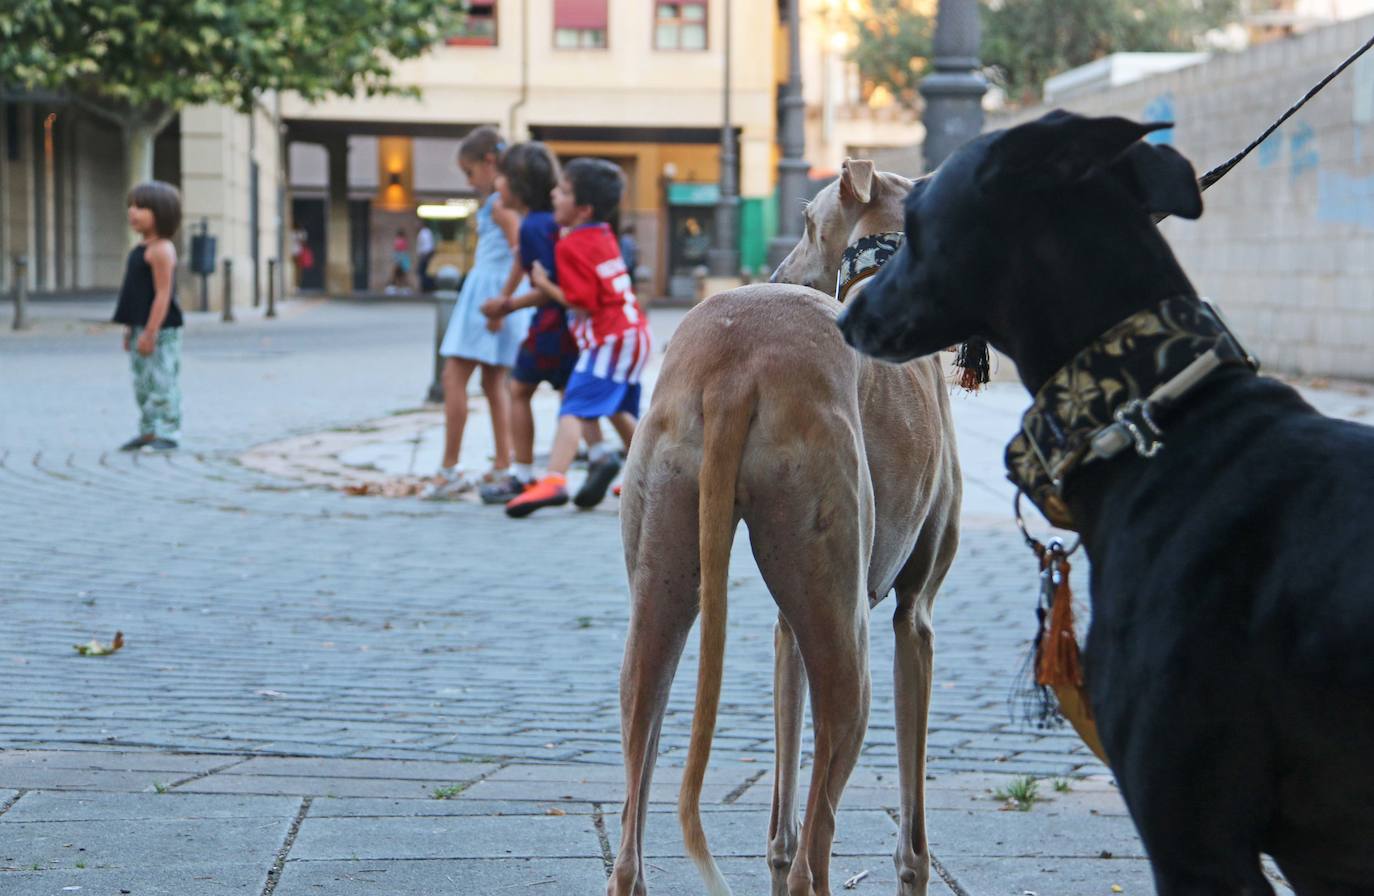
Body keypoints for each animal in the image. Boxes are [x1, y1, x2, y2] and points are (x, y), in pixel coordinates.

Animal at [618, 162, 961, 896]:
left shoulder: (787, 630)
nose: (776, 268)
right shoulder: (913, 619)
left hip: (669, 596)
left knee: (631, 845)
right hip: (851, 656)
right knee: (816, 850)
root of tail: (737, 368)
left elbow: (780, 824)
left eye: (803, 222)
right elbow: (911, 840)